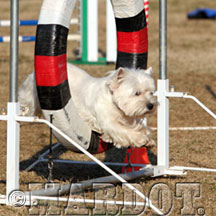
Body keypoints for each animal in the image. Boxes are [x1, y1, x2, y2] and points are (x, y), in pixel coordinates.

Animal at [18, 64, 157, 148]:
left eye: (151, 92)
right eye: (137, 93)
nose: (151, 105)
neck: (112, 99)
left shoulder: (126, 118)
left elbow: (138, 127)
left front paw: (148, 139)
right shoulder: (107, 122)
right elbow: (123, 131)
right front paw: (141, 139)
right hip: (31, 93)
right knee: (27, 101)